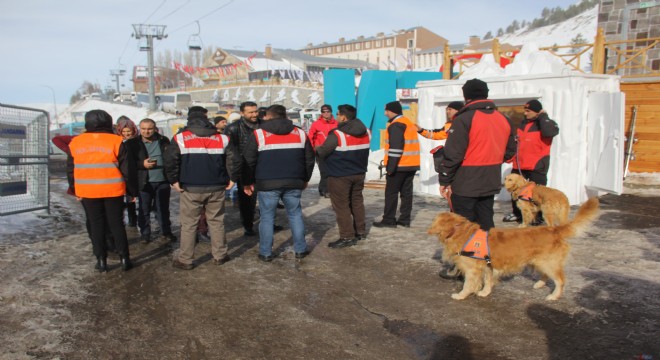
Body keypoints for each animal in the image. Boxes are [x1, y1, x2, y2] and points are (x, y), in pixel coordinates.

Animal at [426, 198, 600, 300]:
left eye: (435, 220)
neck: (462, 233)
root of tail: (554, 229)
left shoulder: (473, 269)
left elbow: (469, 284)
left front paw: (461, 295)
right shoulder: (488, 265)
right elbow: (488, 281)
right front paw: (484, 292)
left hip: (549, 263)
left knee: (560, 280)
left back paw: (554, 295)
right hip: (540, 261)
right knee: (546, 275)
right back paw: (539, 284)